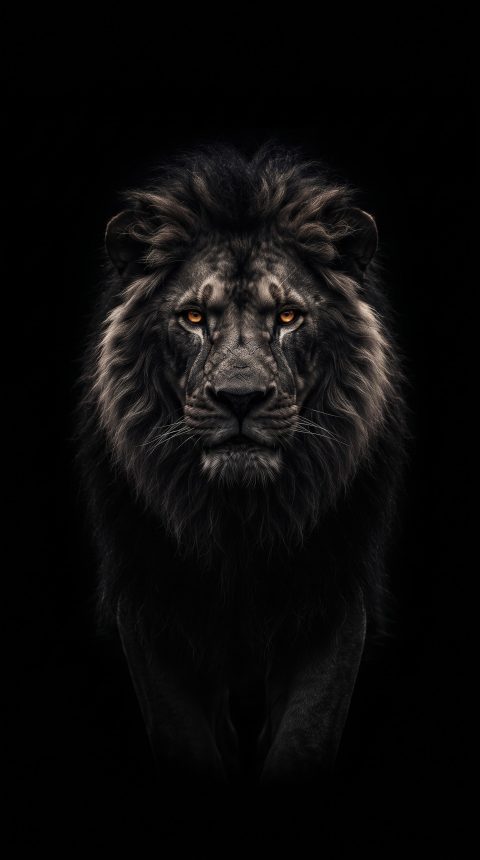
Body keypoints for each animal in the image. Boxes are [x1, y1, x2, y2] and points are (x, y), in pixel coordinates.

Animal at [77, 144, 407, 786]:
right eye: (193, 318)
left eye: (287, 318)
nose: (240, 398)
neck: (240, 525)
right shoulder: (148, 603)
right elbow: (184, 739)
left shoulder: (334, 600)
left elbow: (306, 735)